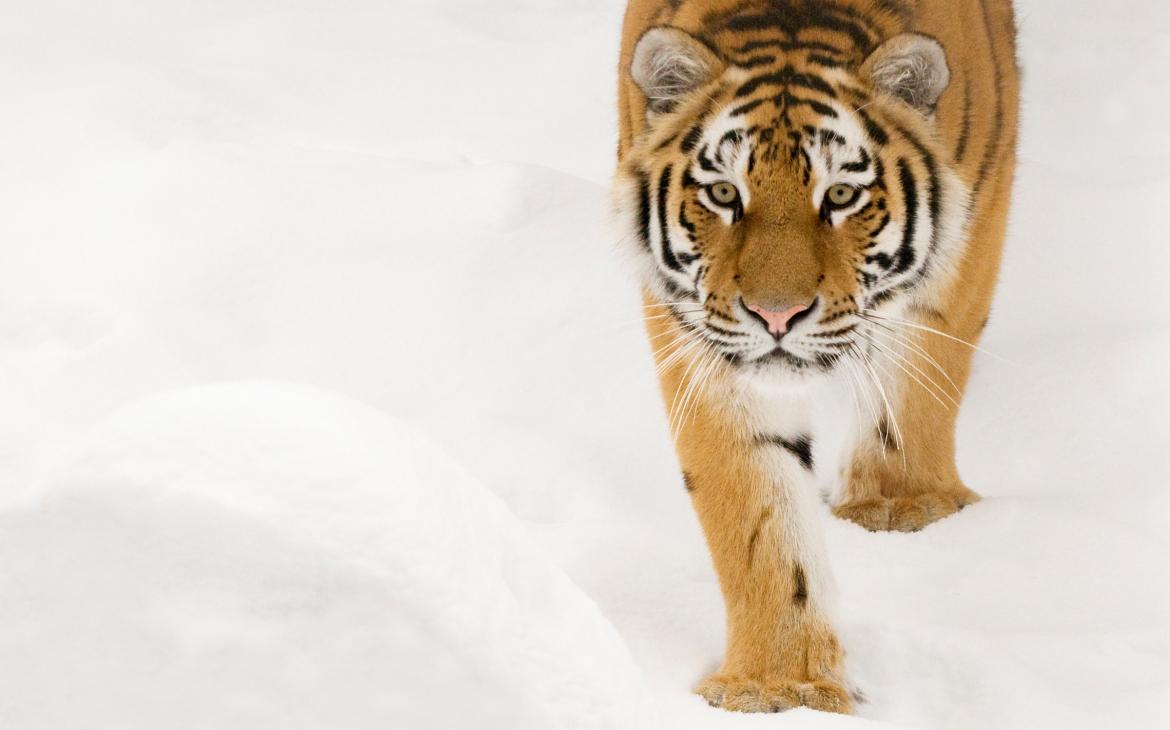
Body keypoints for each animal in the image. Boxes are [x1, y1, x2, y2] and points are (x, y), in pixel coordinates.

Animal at [613, 0, 1015, 715]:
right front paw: (778, 687)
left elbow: (917, 381)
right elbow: (757, 509)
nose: (777, 316)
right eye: (723, 195)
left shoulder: (973, 222)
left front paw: (898, 504)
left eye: (841, 196)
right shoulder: (704, 338)